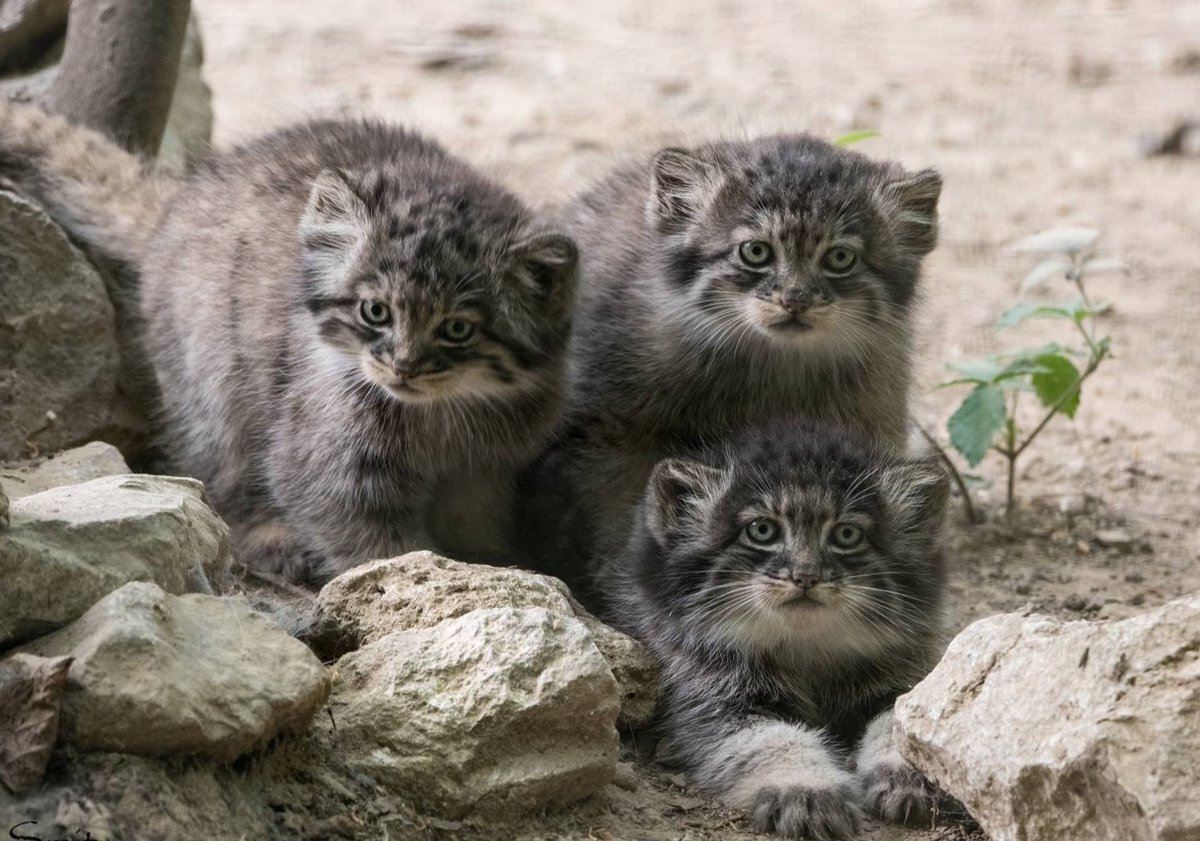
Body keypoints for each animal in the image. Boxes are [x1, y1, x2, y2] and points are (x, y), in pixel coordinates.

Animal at [0, 101, 580, 580]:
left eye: (457, 328)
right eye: (375, 312)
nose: (402, 367)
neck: (443, 416)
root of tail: (179, 202)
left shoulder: (487, 469)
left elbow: (475, 527)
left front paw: (493, 566)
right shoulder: (325, 458)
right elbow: (374, 542)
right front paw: (410, 577)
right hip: (213, 386)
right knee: (217, 471)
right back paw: (268, 537)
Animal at [604, 419, 950, 839]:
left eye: (847, 535)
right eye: (762, 530)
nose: (806, 576)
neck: (805, 650)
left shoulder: (900, 676)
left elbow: (898, 722)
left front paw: (911, 771)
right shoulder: (715, 695)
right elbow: (775, 738)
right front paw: (807, 789)